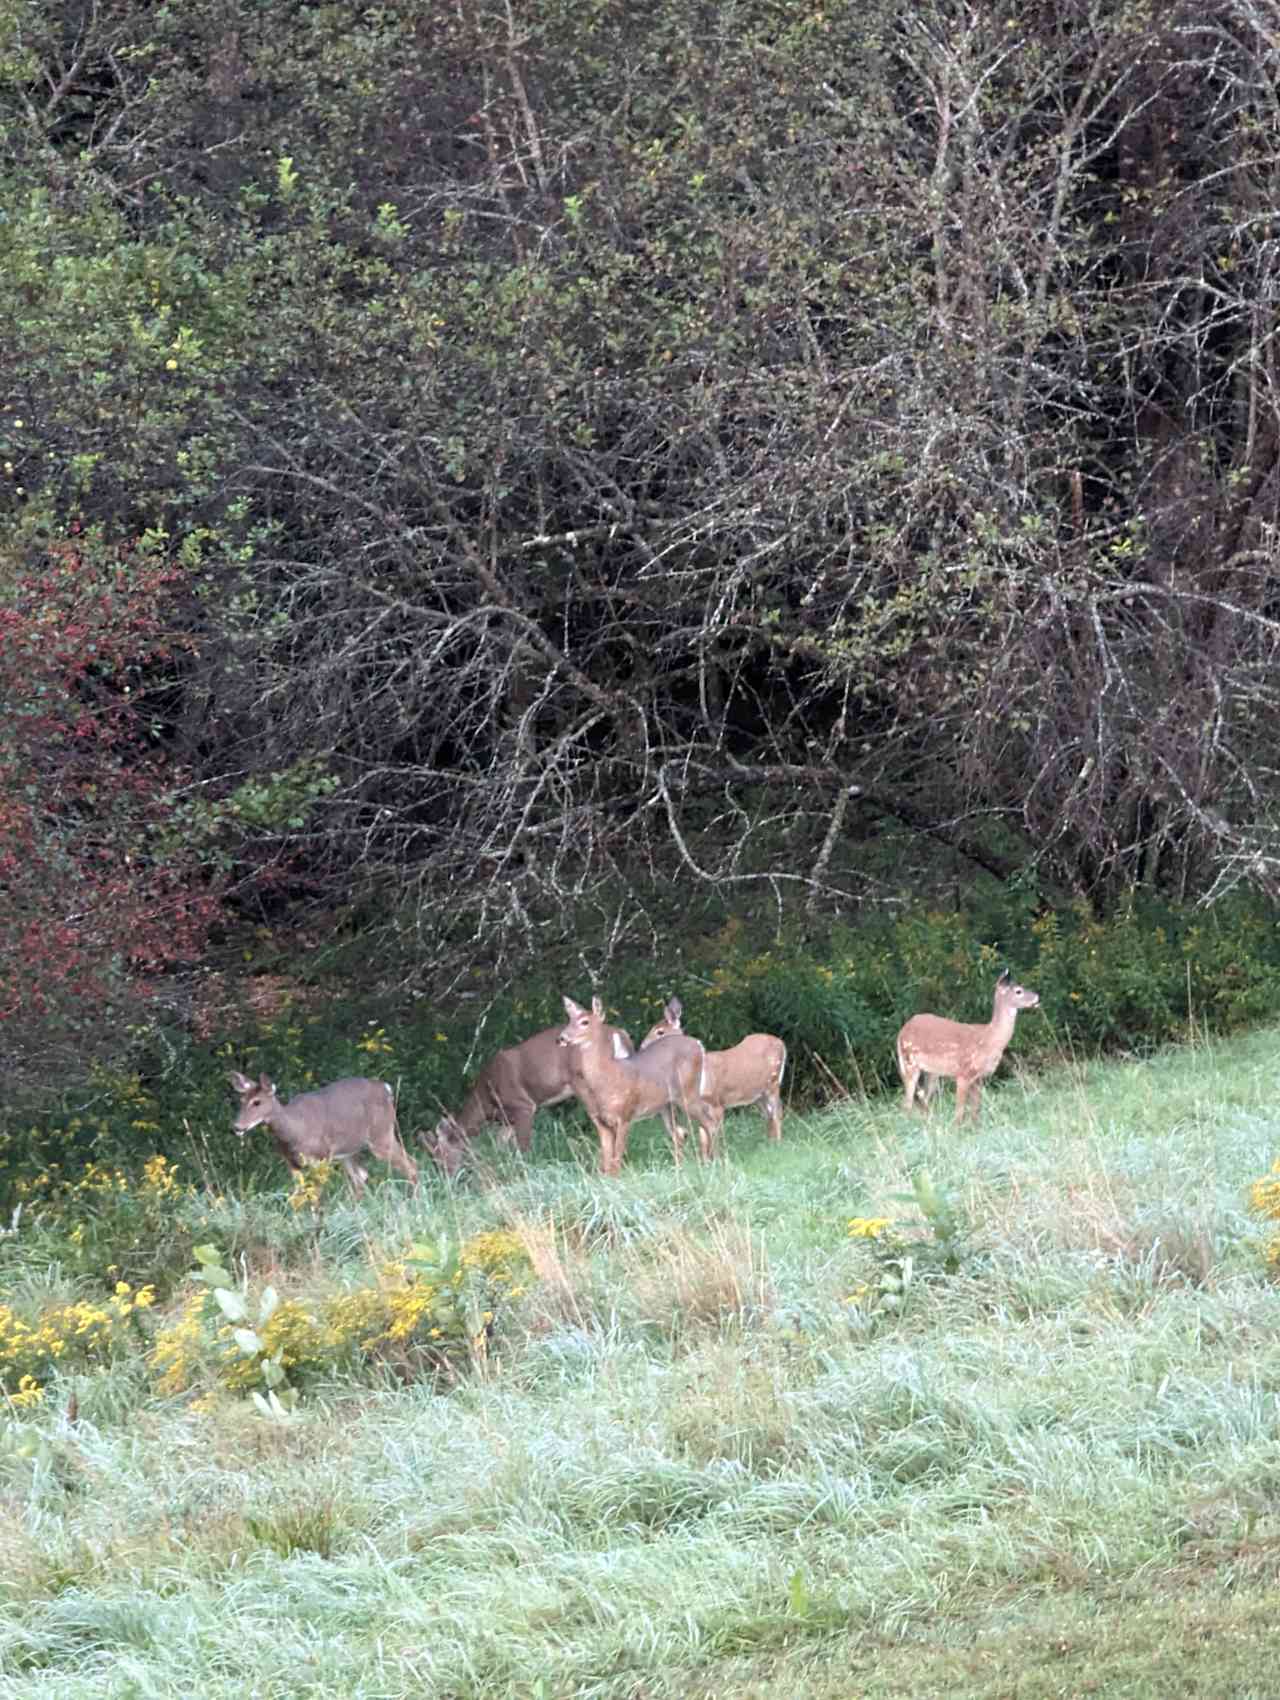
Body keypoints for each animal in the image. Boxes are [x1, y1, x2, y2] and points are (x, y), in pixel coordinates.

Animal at [224, 1074, 414, 1196]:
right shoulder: (292, 1163)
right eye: (241, 1101)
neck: (294, 1132)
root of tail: (386, 1088)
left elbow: (317, 1196)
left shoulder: (321, 1158)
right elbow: (300, 1196)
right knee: (361, 1177)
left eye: (257, 1102)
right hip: (348, 1151)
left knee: (411, 1164)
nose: (236, 1127)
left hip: (381, 1134)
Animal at [424, 1013, 635, 1176]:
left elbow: (523, 1148)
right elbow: (501, 1148)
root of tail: (619, 1034)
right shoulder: (506, 1121)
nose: (447, 1179)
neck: (487, 1098)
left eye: (439, 1155)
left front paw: (525, 1173)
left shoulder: (524, 1105)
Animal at [557, 992, 720, 1183]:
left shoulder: (625, 1115)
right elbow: (607, 1161)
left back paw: (714, 1163)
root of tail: (699, 1044)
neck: (609, 1077)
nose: (561, 1038)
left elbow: (616, 1158)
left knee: (709, 1123)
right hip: (669, 1104)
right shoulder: (603, 1122)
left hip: (687, 1093)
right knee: (686, 1131)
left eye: (585, 1022)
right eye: (570, 1020)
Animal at [635, 992, 785, 1156]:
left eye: (660, 1031)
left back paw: (778, 1146)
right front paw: (706, 1160)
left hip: (773, 1083)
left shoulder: (717, 1102)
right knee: (768, 1114)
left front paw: (717, 1158)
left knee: (777, 1112)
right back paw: (769, 1145)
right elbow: (703, 1139)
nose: (641, 1046)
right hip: (758, 1094)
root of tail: (781, 1043)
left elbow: (713, 1135)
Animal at [890, 972, 1040, 1128]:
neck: (989, 1039)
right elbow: (960, 1111)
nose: (1037, 997)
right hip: (908, 1062)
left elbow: (976, 1109)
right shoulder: (963, 1073)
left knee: (923, 1099)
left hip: (932, 1072)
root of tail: (902, 1030)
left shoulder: (979, 1077)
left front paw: (975, 1128)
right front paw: (957, 1129)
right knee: (907, 1102)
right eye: (1018, 991)